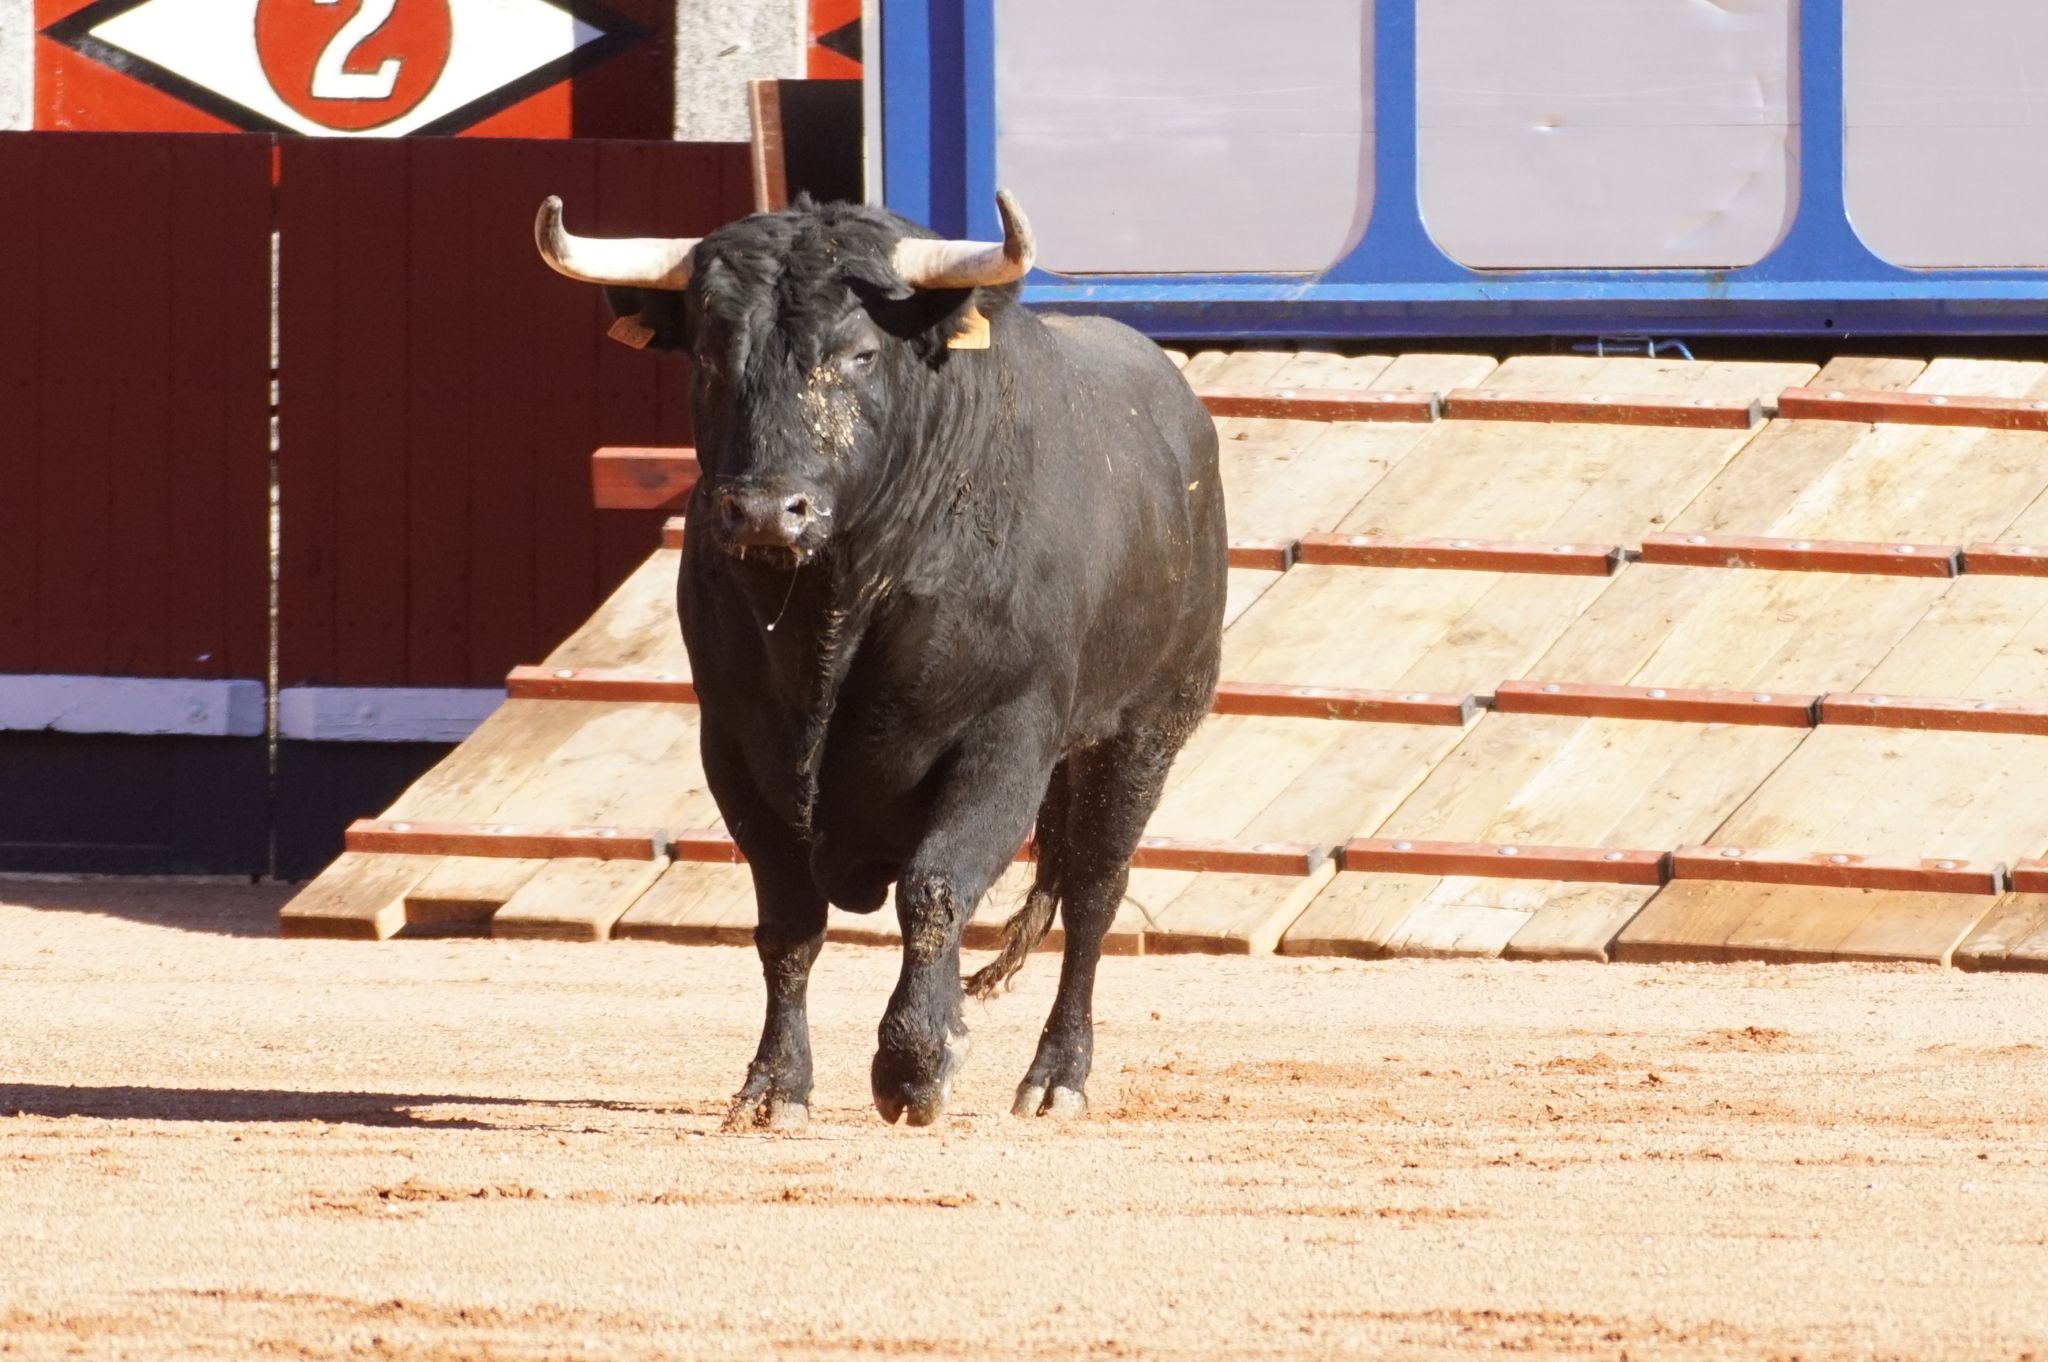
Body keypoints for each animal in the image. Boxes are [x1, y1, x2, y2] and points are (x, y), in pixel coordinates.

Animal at [536, 193, 1220, 1122]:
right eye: (710, 353)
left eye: (861, 351)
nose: (765, 512)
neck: (835, 605)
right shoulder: (736, 750)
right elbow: (789, 923)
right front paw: (774, 1084)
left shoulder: (1005, 739)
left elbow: (934, 889)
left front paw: (917, 1063)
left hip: (1146, 733)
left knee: (1092, 895)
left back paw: (1056, 1077)